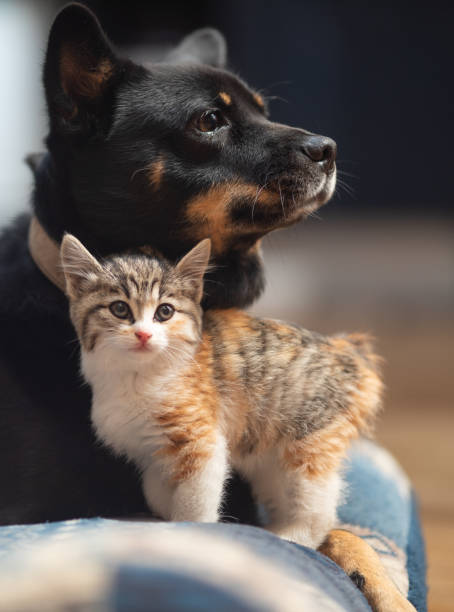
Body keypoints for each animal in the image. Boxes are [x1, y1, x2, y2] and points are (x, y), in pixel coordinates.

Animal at [61, 235, 384, 548]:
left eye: (165, 312)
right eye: (120, 309)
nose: (143, 334)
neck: (135, 376)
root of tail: (346, 348)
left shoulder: (201, 439)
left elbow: (196, 496)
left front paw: (191, 530)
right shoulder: (149, 450)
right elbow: (155, 489)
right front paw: (165, 513)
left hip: (310, 439)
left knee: (318, 503)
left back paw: (294, 536)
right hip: (270, 454)